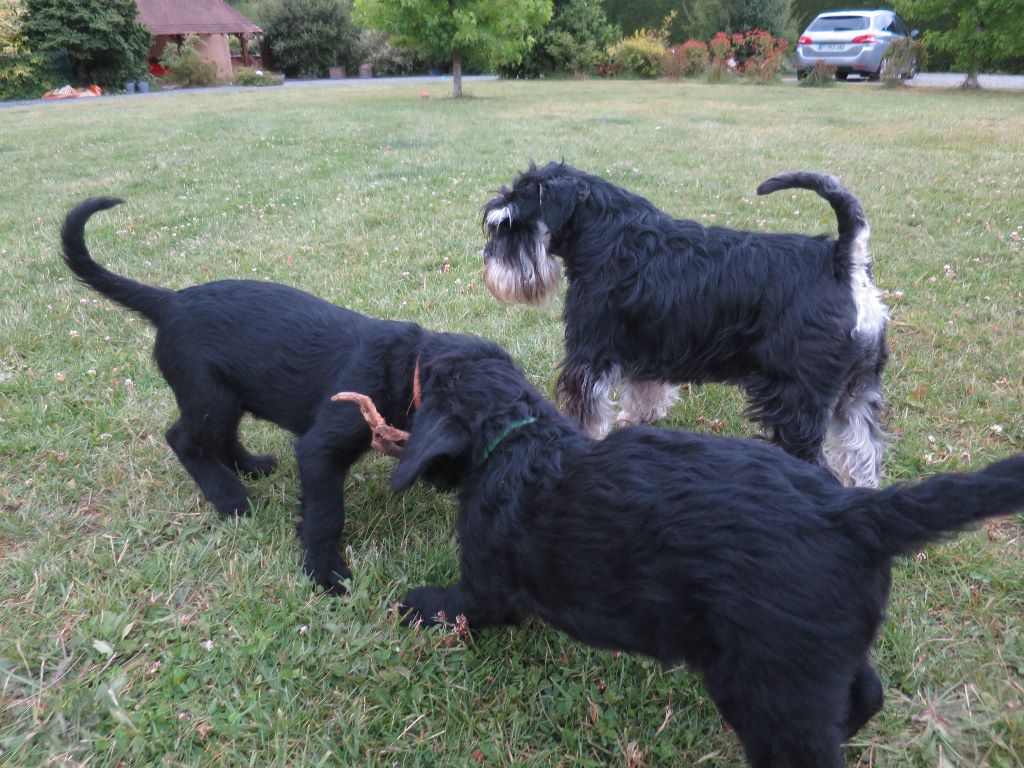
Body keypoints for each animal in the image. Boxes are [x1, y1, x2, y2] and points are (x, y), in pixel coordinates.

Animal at [60, 198, 495, 593]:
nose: (455, 490)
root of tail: (170, 302)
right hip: (211, 397)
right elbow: (325, 513)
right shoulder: (320, 450)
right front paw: (325, 571)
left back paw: (250, 466)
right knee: (184, 439)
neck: (409, 366)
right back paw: (230, 497)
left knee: (222, 437)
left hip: (227, 395)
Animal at [391, 348, 1024, 768]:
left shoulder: (488, 583)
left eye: (431, 379)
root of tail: (850, 511)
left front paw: (416, 604)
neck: (518, 439)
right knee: (868, 694)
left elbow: (463, 604)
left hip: (769, 685)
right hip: (816, 652)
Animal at [479, 162, 888, 487]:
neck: (607, 239)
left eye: (511, 224)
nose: (488, 263)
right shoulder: (644, 345)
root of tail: (845, 262)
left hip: (795, 400)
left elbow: (587, 408)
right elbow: (644, 390)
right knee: (863, 454)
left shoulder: (590, 353)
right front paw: (637, 419)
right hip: (856, 392)